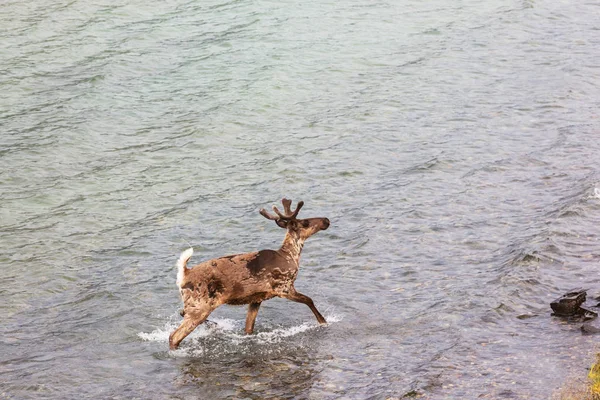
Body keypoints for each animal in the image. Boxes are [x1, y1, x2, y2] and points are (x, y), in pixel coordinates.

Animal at [169, 198, 330, 348]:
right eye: (305, 222)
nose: (326, 220)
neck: (291, 256)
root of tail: (184, 274)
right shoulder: (283, 287)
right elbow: (309, 300)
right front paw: (323, 321)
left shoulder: (256, 298)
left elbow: (249, 328)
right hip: (200, 305)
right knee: (174, 336)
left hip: (194, 305)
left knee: (181, 314)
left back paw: (215, 325)